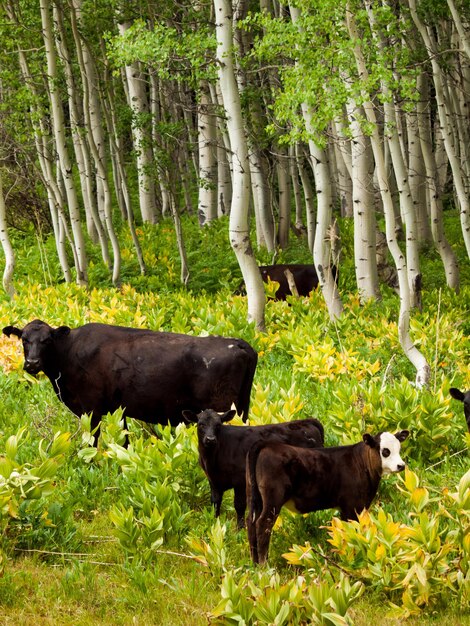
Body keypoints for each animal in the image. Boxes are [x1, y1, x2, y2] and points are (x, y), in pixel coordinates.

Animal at [2, 316, 258, 444]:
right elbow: (123, 441)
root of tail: (238, 342)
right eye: (24, 339)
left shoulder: (91, 409)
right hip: (242, 408)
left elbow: (93, 440)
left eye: (47, 340)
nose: (32, 363)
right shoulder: (118, 409)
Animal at [182, 404, 324, 528]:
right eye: (201, 424)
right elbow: (215, 503)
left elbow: (239, 505)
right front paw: (214, 523)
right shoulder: (214, 481)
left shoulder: (240, 481)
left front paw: (240, 528)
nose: (210, 439)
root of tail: (307, 421)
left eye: (218, 425)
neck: (212, 459)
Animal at [246, 428, 408, 560]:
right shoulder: (352, 506)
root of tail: (267, 445)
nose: (401, 465)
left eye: (399, 448)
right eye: (385, 451)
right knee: (263, 523)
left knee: (251, 522)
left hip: (255, 497)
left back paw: (255, 563)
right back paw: (264, 564)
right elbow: (350, 532)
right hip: (273, 498)